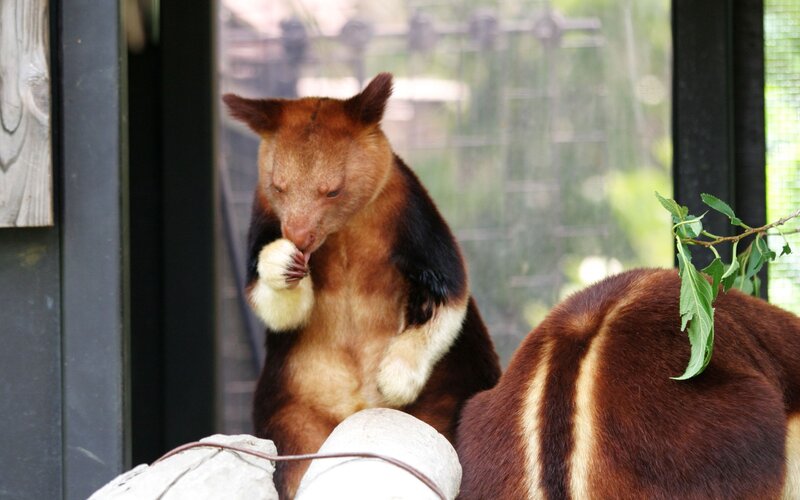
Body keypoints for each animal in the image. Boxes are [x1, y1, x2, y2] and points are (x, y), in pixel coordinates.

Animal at [223, 73, 501, 498]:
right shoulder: (265, 217)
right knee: (295, 458)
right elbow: (272, 305)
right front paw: (283, 263)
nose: (298, 237)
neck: (343, 229)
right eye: (278, 186)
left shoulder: (415, 218)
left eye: (333, 190)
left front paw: (393, 382)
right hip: (295, 410)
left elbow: (449, 296)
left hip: (446, 404)